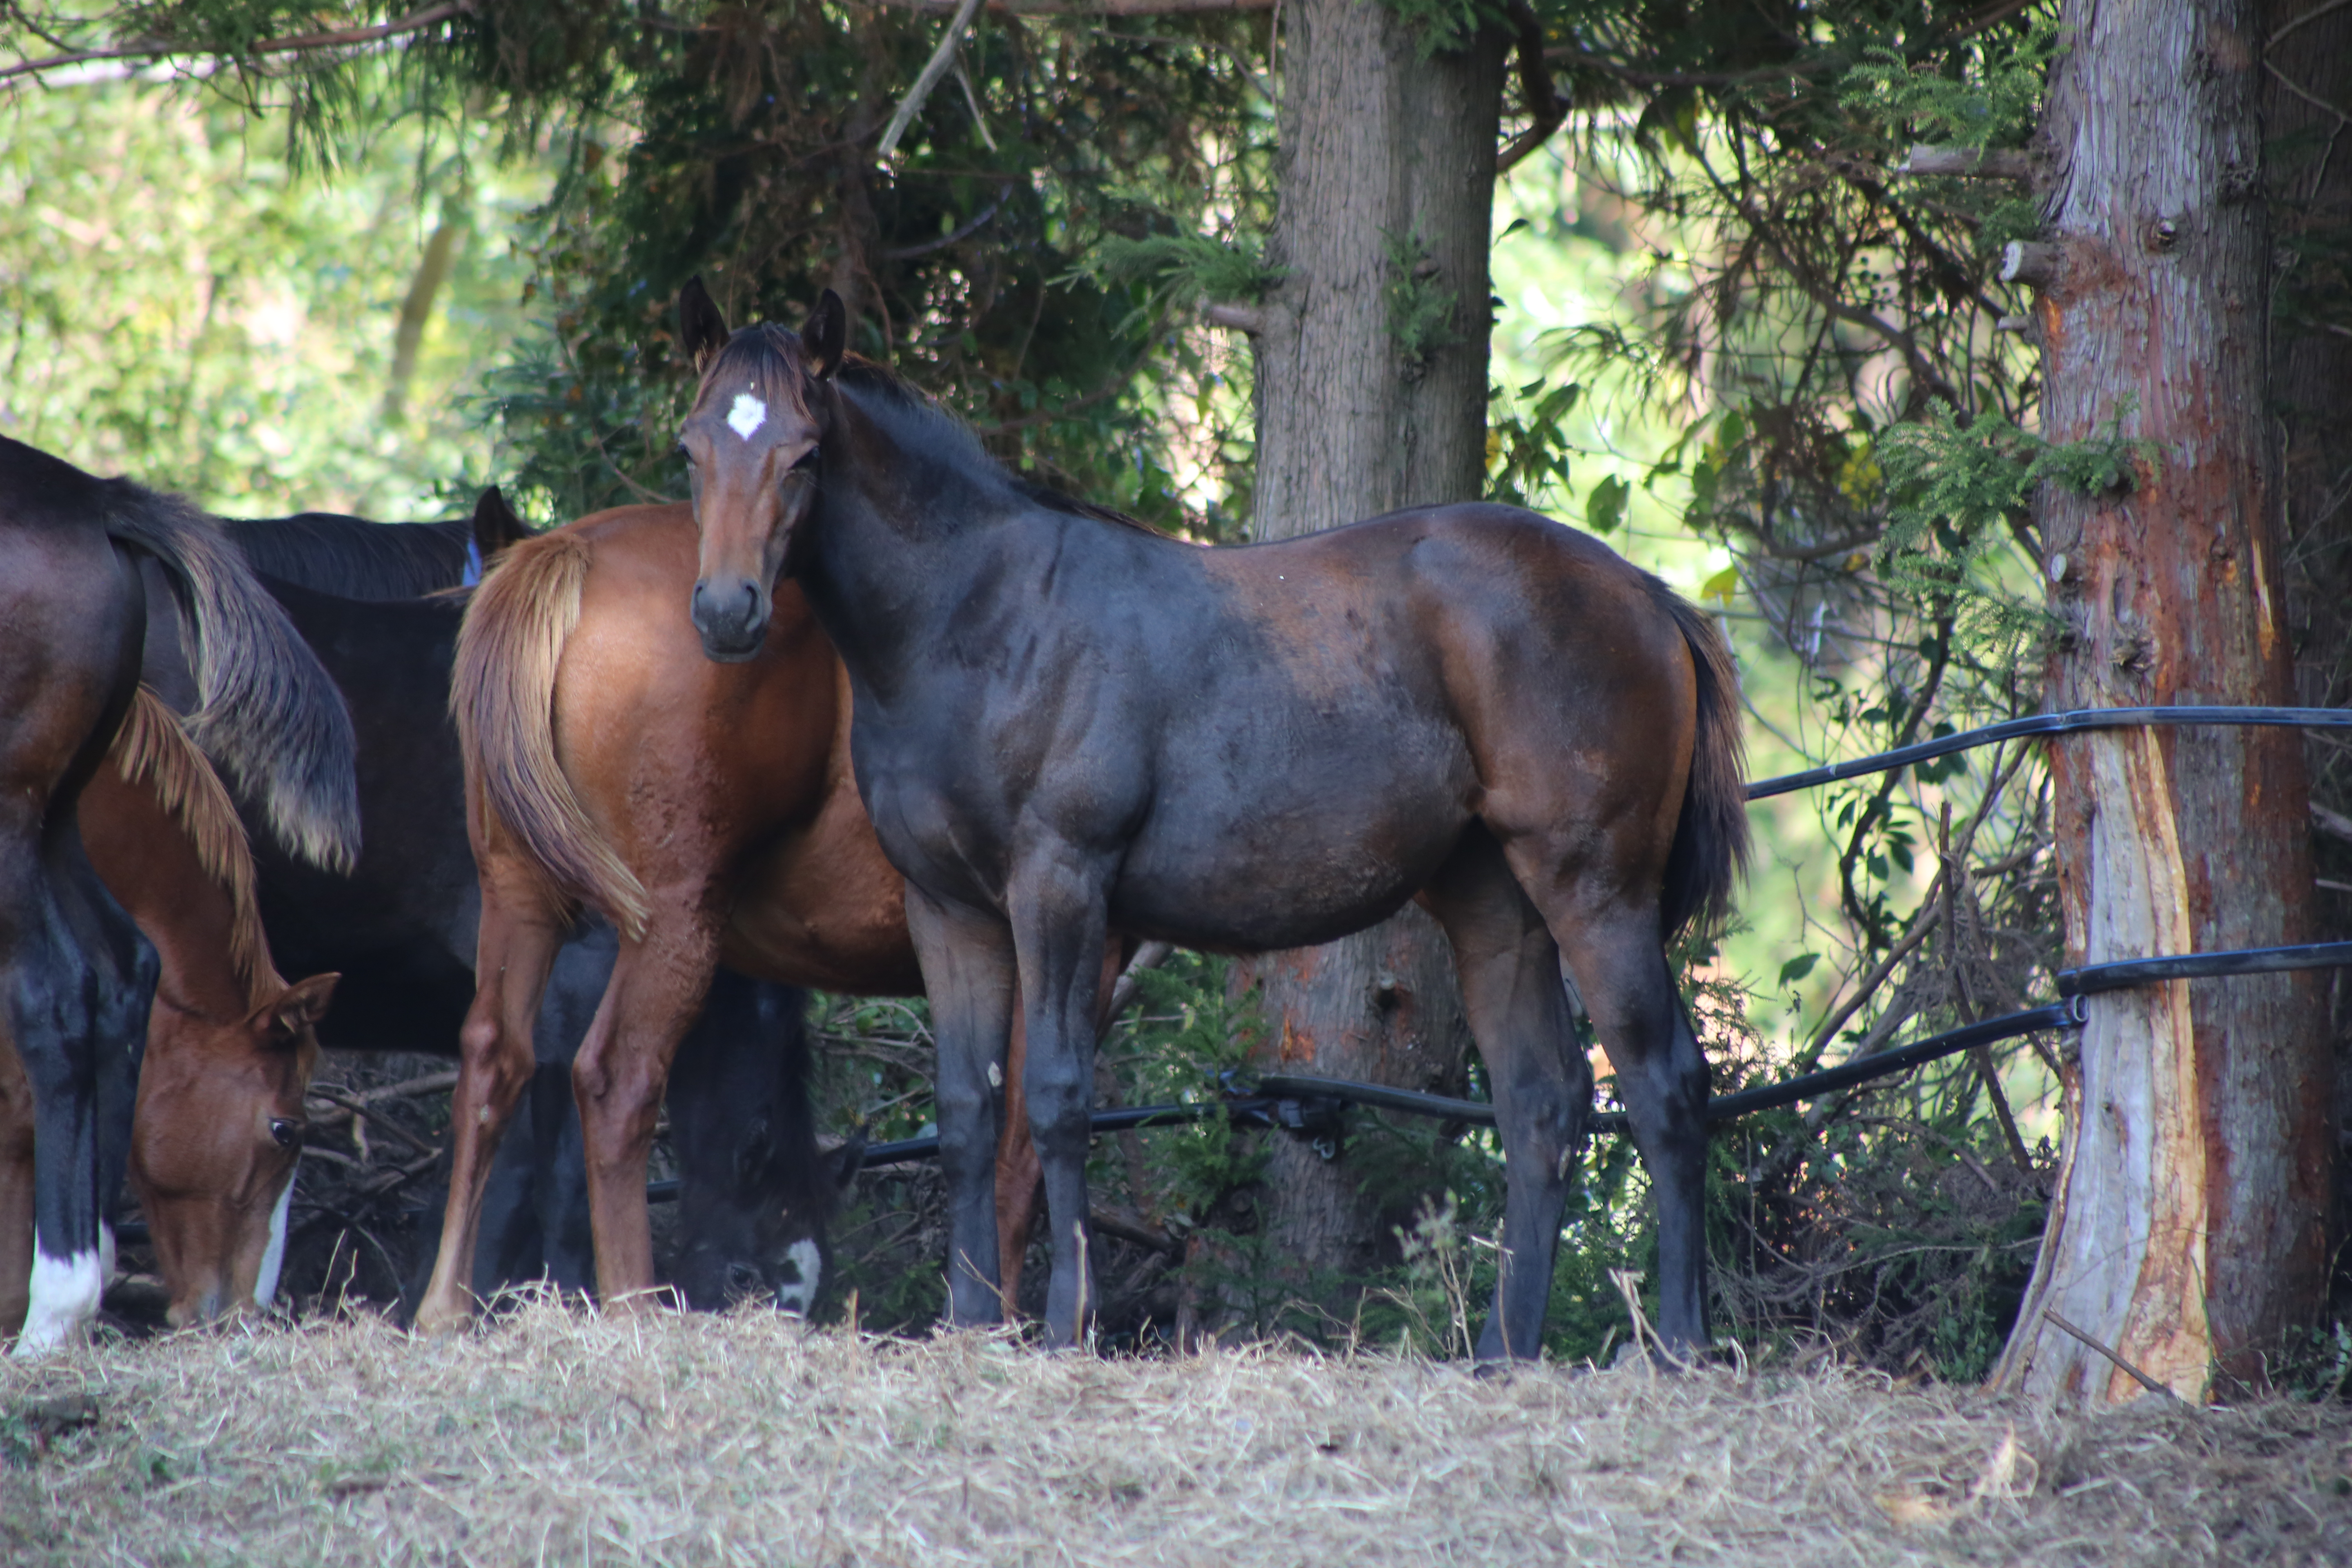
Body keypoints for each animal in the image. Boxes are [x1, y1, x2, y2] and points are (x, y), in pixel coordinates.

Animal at [0, 435, 357, 1354]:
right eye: (284, 1129)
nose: (243, 1311)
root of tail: (95, 501)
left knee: (60, 1000)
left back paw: (55, 1311)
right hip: (47, 832)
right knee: (121, 976)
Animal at [677, 285, 1750, 1363]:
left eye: (804, 453)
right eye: (692, 447)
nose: (726, 612)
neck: (981, 620)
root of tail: (1647, 598)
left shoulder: (1061, 885)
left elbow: (1055, 1098)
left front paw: (1064, 1324)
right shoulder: (947, 907)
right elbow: (967, 1112)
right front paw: (971, 1323)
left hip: (1595, 892)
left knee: (1663, 1087)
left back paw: (1680, 1344)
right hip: (1497, 905)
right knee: (1543, 1103)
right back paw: (1501, 1353)